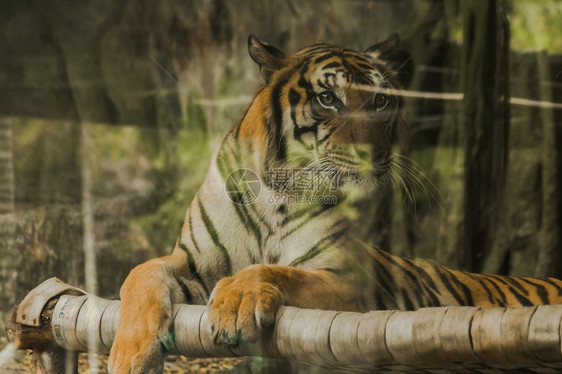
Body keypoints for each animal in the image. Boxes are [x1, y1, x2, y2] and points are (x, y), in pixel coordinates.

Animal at [107, 34, 560, 372]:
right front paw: (129, 356)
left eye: (381, 101)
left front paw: (235, 303)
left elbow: (274, 270)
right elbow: (140, 272)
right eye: (328, 99)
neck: (277, 191)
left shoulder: (345, 279)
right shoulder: (194, 261)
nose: (376, 154)